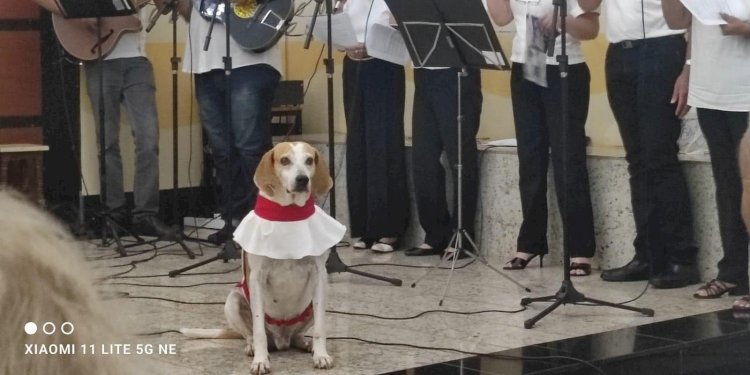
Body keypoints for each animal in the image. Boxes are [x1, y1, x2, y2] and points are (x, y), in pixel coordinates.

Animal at [182, 142, 346, 374]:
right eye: (284, 160)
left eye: (309, 160)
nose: (302, 179)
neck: (288, 214)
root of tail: (281, 341)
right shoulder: (257, 278)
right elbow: (258, 329)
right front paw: (261, 361)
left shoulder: (319, 276)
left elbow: (320, 329)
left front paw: (321, 355)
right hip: (233, 301)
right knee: (251, 334)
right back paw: (253, 347)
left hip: (314, 305)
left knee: (298, 335)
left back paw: (306, 344)